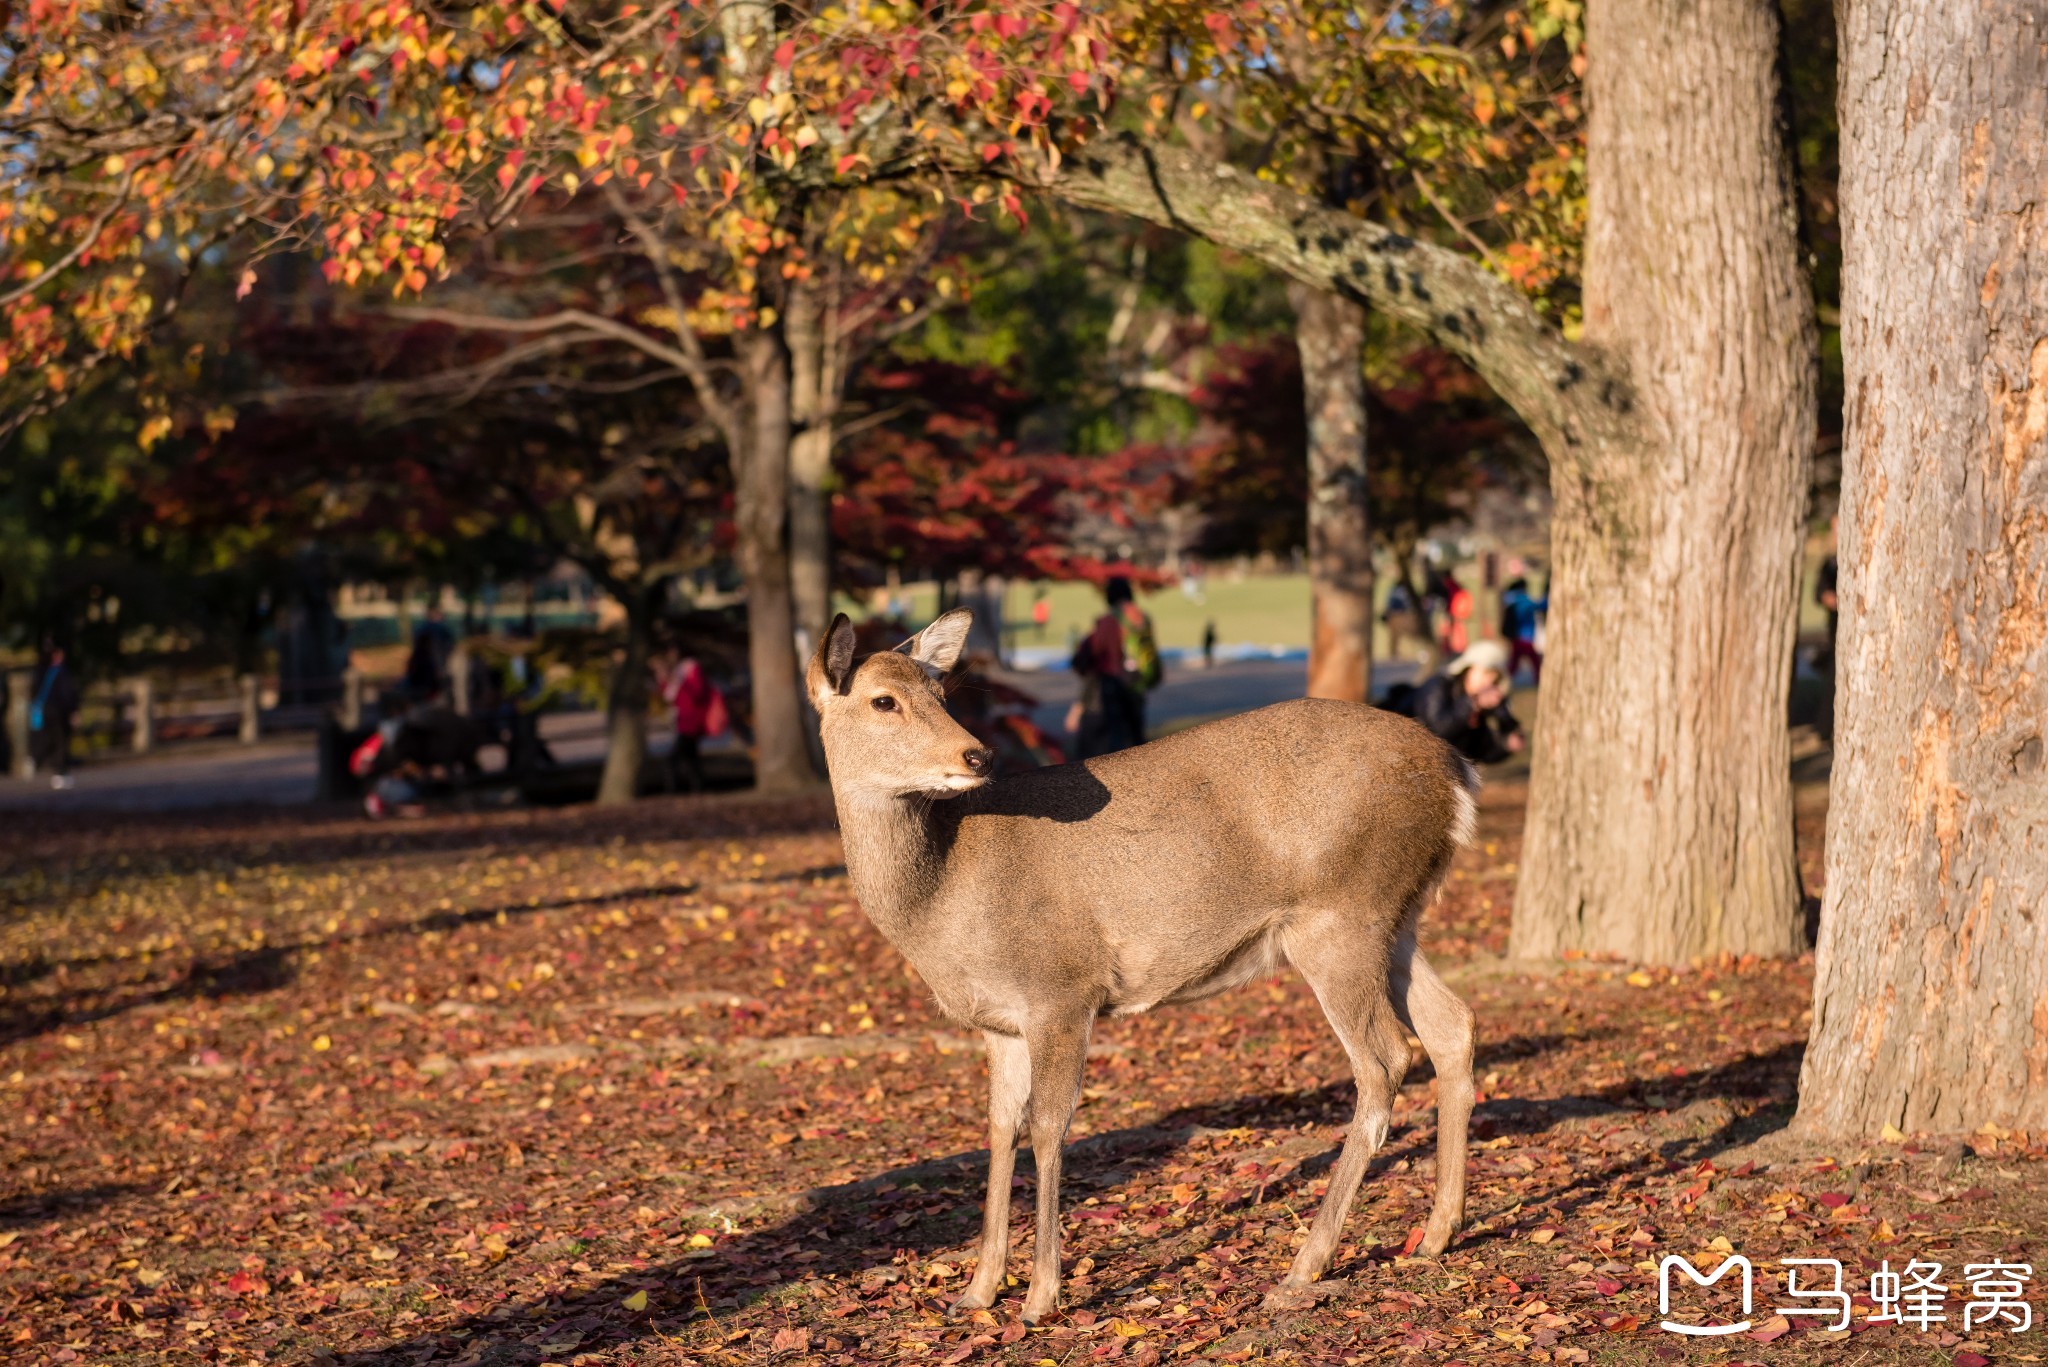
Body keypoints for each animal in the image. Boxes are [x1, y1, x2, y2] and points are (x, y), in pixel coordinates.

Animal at [806, 614, 1482, 1319]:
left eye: (941, 694)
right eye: (884, 700)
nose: (978, 756)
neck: (940, 904)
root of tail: (1457, 772)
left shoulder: (1062, 989)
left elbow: (1049, 1127)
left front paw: (1041, 1295)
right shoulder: (999, 1022)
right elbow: (999, 1129)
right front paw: (978, 1290)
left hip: (1340, 916)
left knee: (1385, 1060)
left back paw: (1305, 1266)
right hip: (1396, 919)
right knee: (1452, 1025)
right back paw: (1437, 1233)